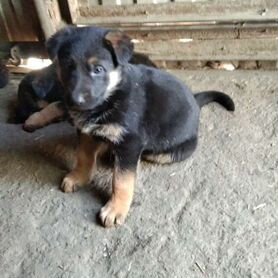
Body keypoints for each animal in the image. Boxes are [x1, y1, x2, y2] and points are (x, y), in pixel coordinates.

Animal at [47, 26, 235, 227]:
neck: (111, 96)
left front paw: (116, 208)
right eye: (68, 66)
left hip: (166, 151)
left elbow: (122, 180)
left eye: (98, 69)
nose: (75, 101)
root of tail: (195, 100)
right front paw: (78, 177)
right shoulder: (86, 132)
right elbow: (84, 156)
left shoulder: (130, 142)